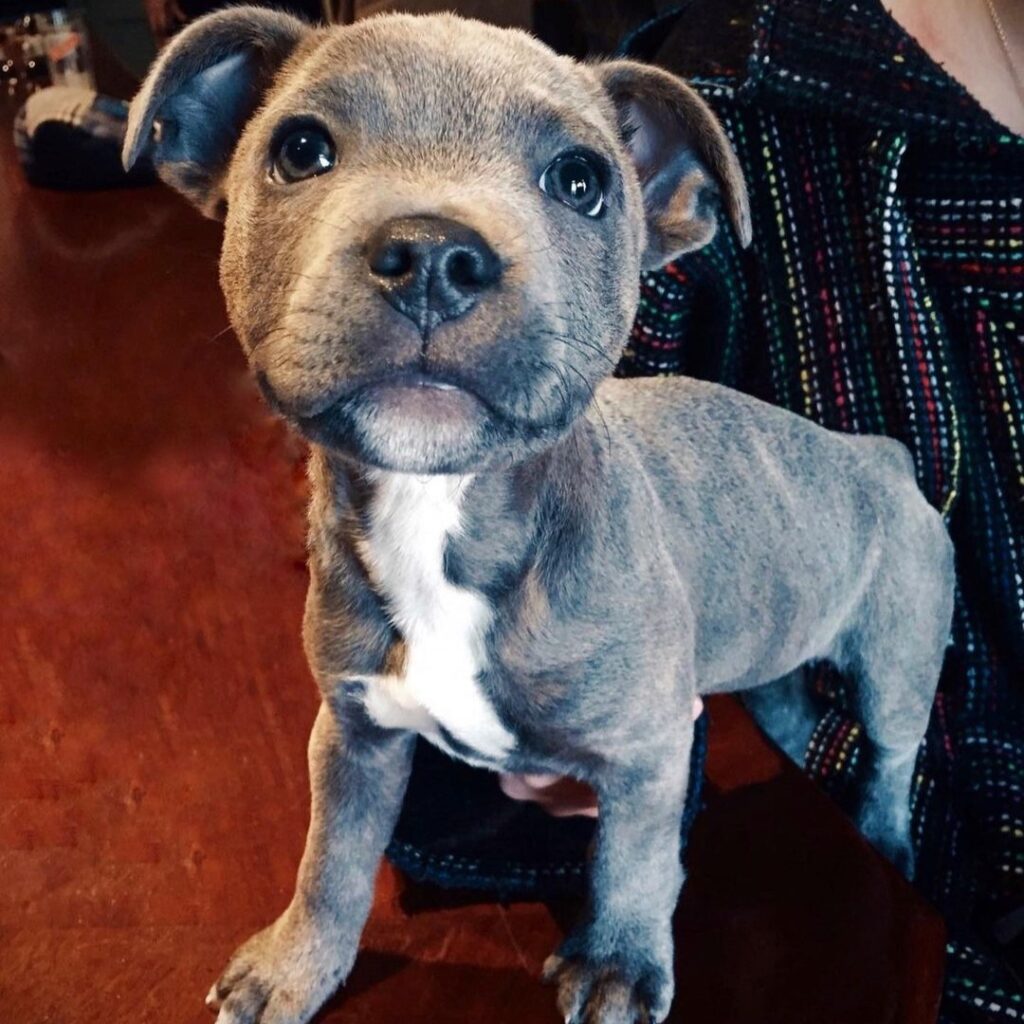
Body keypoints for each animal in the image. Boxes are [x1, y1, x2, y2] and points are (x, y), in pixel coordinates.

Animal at [124, 10, 956, 1024]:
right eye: (300, 149)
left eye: (581, 182)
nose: (433, 255)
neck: (443, 512)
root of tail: (882, 454)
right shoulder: (354, 735)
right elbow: (330, 862)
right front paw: (296, 965)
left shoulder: (648, 749)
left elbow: (634, 860)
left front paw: (619, 963)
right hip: (776, 657)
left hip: (899, 659)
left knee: (890, 757)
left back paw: (889, 837)